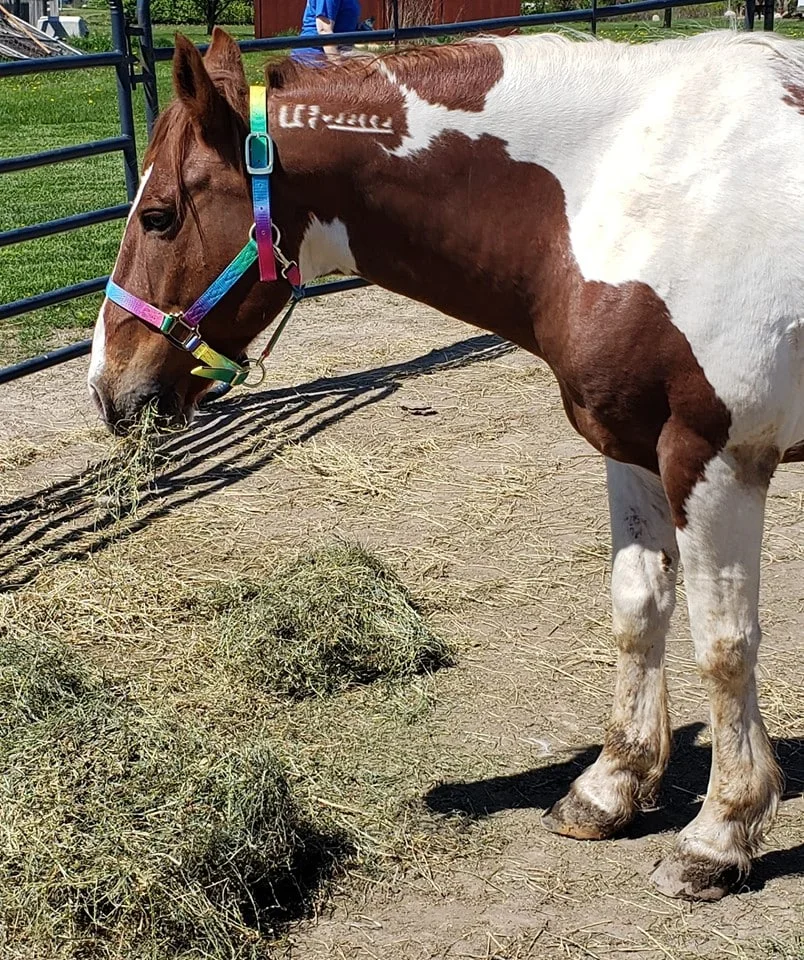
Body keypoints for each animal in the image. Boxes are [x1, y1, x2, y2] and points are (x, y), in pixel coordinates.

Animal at [89, 28, 804, 900]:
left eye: (159, 215)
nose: (107, 388)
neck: (641, 184)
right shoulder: (632, 447)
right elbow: (638, 611)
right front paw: (611, 787)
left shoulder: (713, 457)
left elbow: (726, 646)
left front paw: (720, 831)